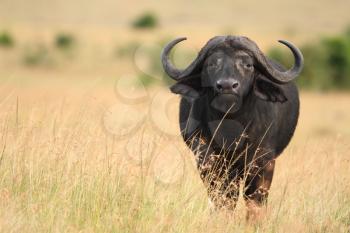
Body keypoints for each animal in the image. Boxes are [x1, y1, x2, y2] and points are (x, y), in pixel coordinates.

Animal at [161, 36, 304, 218]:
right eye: (211, 64)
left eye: (248, 65)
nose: (227, 86)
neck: (231, 128)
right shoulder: (207, 158)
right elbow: (223, 197)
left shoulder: (263, 161)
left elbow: (254, 199)